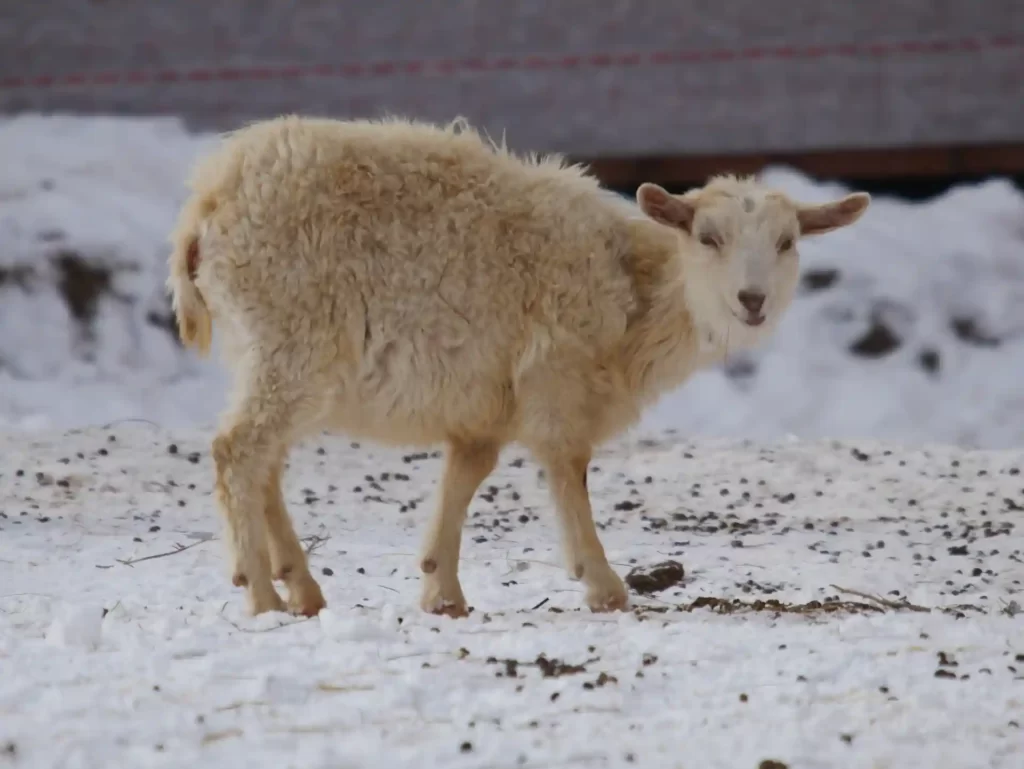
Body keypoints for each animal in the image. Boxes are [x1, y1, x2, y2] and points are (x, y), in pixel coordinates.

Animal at [167, 115, 870, 618]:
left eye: (787, 242)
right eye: (708, 237)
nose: (752, 300)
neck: (633, 289)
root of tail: (206, 200)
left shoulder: (485, 407)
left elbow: (465, 476)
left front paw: (441, 590)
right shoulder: (556, 374)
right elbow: (569, 468)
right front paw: (602, 582)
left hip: (272, 354)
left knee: (265, 461)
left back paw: (301, 587)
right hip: (291, 339)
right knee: (239, 451)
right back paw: (260, 593)